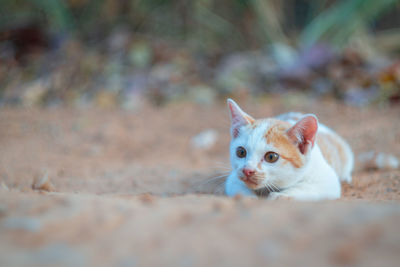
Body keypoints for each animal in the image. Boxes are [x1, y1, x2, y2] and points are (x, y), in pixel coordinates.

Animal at [225, 99, 354, 200]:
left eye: (271, 157)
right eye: (241, 152)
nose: (247, 170)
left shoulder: (327, 179)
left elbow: (306, 188)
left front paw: (281, 196)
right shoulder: (233, 178)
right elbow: (237, 185)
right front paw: (249, 197)